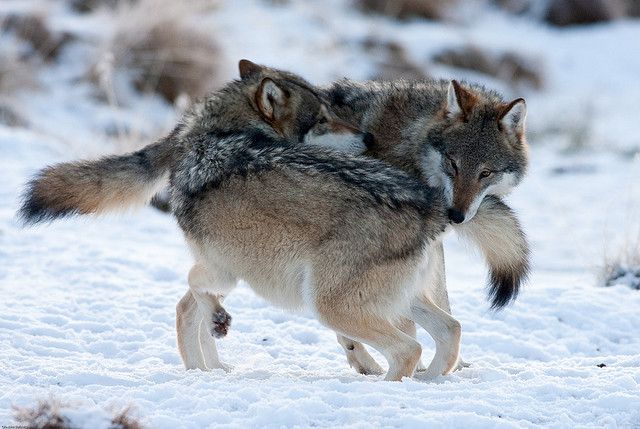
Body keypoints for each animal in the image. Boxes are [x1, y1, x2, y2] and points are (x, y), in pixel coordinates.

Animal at [322, 78, 532, 372]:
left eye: (485, 173)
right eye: (453, 164)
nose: (456, 215)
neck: (409, 145)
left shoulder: (430, 244)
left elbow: (441, 299)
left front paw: (456, 365)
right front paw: (418, 368)